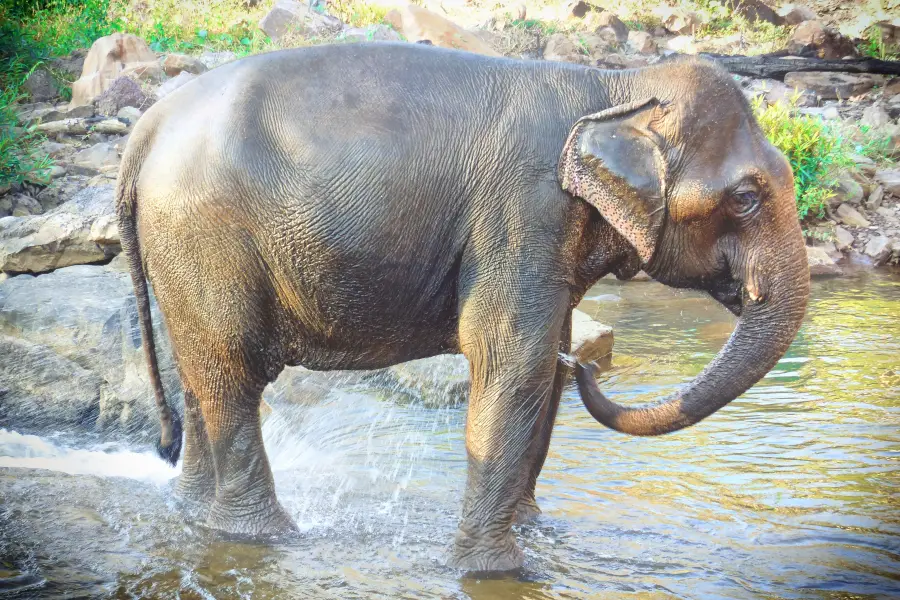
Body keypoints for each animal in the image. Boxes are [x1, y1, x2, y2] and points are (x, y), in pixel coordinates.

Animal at [116, 43, 812, 572]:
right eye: (746, 197)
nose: (592, 369)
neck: (617, 86)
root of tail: (147, 128)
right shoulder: (524, 211)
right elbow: (514, 362)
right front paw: (495, 570)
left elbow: (546, 370)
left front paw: (536, 530)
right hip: (205, 236)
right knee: (232, 374)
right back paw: (268, 536)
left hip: (180, 253)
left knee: (199, 375)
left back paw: (195, 514)